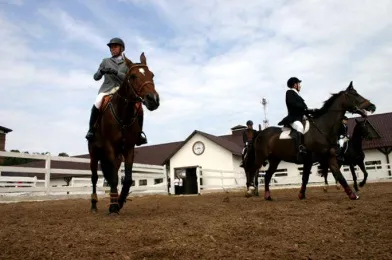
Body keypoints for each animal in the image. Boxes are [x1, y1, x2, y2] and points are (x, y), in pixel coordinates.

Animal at [87, 51, 159, 214]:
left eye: (152, 75)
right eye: (132, 76)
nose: (153, 99)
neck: (123, 114)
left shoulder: (129, 149)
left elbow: (126, 179)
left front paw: (119, 202)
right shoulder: (109, 147)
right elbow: (113, 178)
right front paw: (114, 206)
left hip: (117, 156)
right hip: (94, 153)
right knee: (94, 177)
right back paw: (94, 205)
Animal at [243, 82, 376, 201]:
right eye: (355, 95)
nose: (372, 106)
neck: (323, 127)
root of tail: (260, 133)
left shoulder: (327, 158)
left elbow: (337, 175)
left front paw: (352, 195)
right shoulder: (312, 159)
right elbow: (309, 177)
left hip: (275, 160)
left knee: (267, 176)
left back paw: (267, 196)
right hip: (260, 157)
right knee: (253, 171)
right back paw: (251, 190)